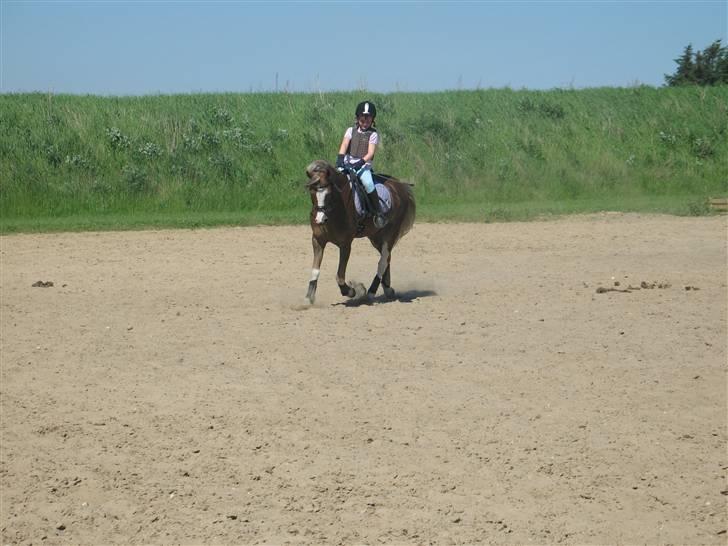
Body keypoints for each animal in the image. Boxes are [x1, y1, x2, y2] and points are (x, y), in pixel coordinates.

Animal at [305, 159, 416, 305]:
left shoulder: (345, 244)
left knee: (383, 261)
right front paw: (308, 298)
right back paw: (387, 289)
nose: (319, 219)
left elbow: (340, 276)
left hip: (390, 235)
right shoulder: (318, 240)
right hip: (376, 237)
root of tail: (399, 186)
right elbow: (315, 271)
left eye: (329, 194)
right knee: (387, 259)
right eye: (312, 192)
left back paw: (371, 292)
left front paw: (353, 291)